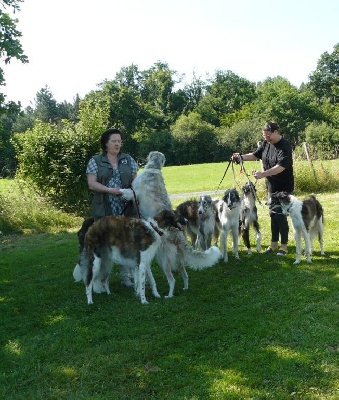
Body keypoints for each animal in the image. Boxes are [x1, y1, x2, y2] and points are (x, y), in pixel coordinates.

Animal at [121, 152, 222, 298]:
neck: (154, 169)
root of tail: (179, 237)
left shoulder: (134, 192)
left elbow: (126, 191)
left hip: (163, 260)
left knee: (172, 279)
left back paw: (168, 296)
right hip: (179, 260)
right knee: (185, 275)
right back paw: (185, 288)